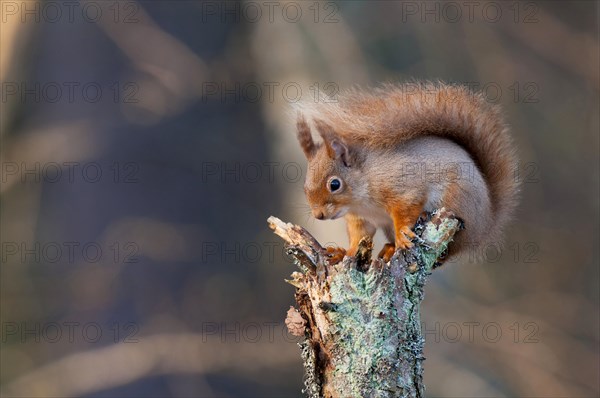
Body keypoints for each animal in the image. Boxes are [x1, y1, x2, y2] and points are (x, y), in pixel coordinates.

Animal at [292, 82, 516, 262]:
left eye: (335, 184)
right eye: (304, 187)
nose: (318, 215)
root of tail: (487, 224)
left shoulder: (403, 187)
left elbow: (406, 207)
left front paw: (402, 235)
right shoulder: (360, 219)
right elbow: (360, 237)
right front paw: (344, 253)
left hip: (457, 201)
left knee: (447, 253)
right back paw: (390, 249)